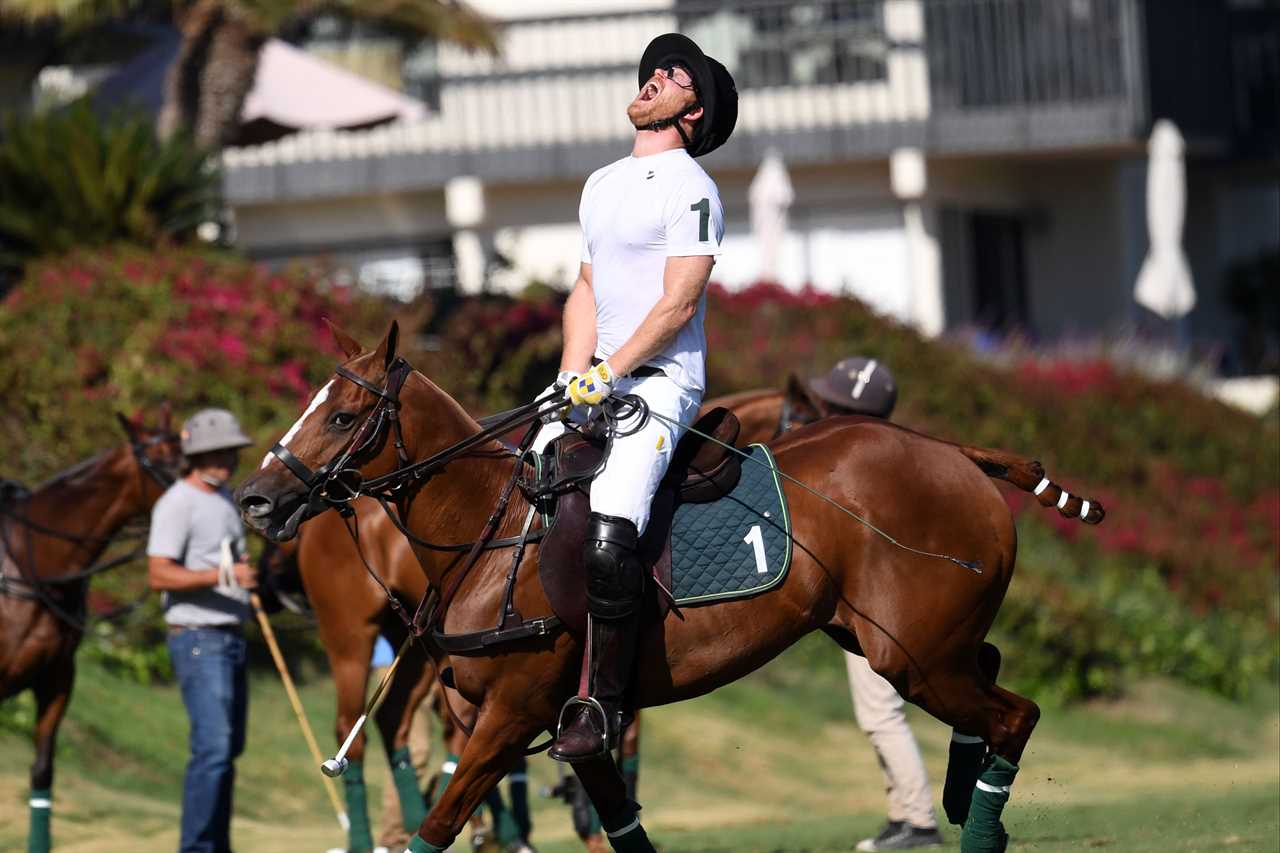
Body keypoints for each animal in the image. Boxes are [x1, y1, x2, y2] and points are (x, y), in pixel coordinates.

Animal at [238, 325, 1100, 850]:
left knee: (1014, 714)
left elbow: (446, 825)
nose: (255, 499)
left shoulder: (513, 715)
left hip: (913, 654)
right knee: (991, 679)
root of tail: (957, 452)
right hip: (893, 638)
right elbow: (618, 819)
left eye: (343, 416)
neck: (491, 528)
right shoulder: (564, 722)